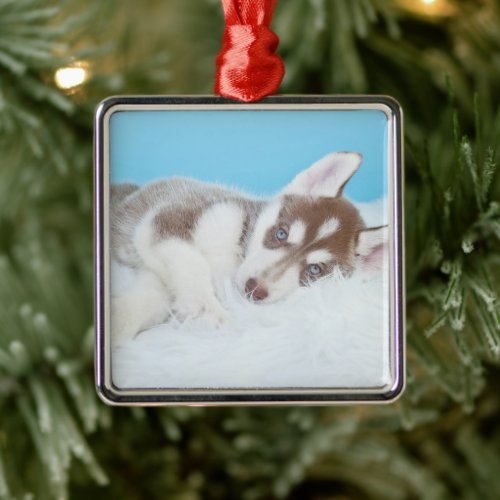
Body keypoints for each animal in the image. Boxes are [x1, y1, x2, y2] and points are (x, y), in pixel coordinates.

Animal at [112, 151, 386, 340]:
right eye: (281, 233)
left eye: (314, 270)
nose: (255, 289)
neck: (236, 254)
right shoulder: (171, 218)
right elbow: (190, 262)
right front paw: (208, 308)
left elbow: (149, 299)